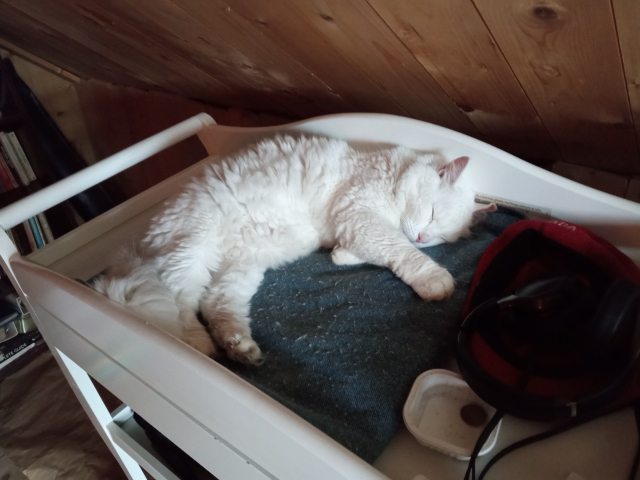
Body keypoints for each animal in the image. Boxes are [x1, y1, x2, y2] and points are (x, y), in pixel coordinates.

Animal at [92, 135, 496, 364]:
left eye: (443, 236)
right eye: (431, 214)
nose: (425, 239)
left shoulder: (353, 226)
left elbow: (368, 250)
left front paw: (340, 256)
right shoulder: (361, 216)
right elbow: (400, 250)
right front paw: (435, 280)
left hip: (237, 271)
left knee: (214, 306)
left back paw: (240, 349)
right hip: (192, 251)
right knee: (179, 310)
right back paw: (199, 347)